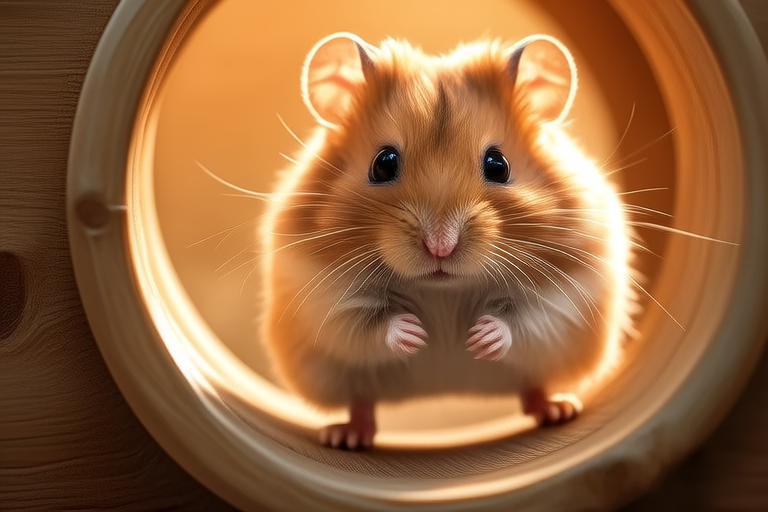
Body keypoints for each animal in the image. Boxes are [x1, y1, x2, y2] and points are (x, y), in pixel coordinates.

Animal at [261, 32, 635, 449]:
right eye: (383, 163)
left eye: (498, 165)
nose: (440, 245)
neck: (443, 290)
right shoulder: (322, 299)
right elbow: (365, 324)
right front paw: (417, 335)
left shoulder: (565, 297)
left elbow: (526, 321)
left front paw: (478, 339)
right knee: (362, 402)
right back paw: (346, 437)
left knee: (532, 388)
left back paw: (558, 410)